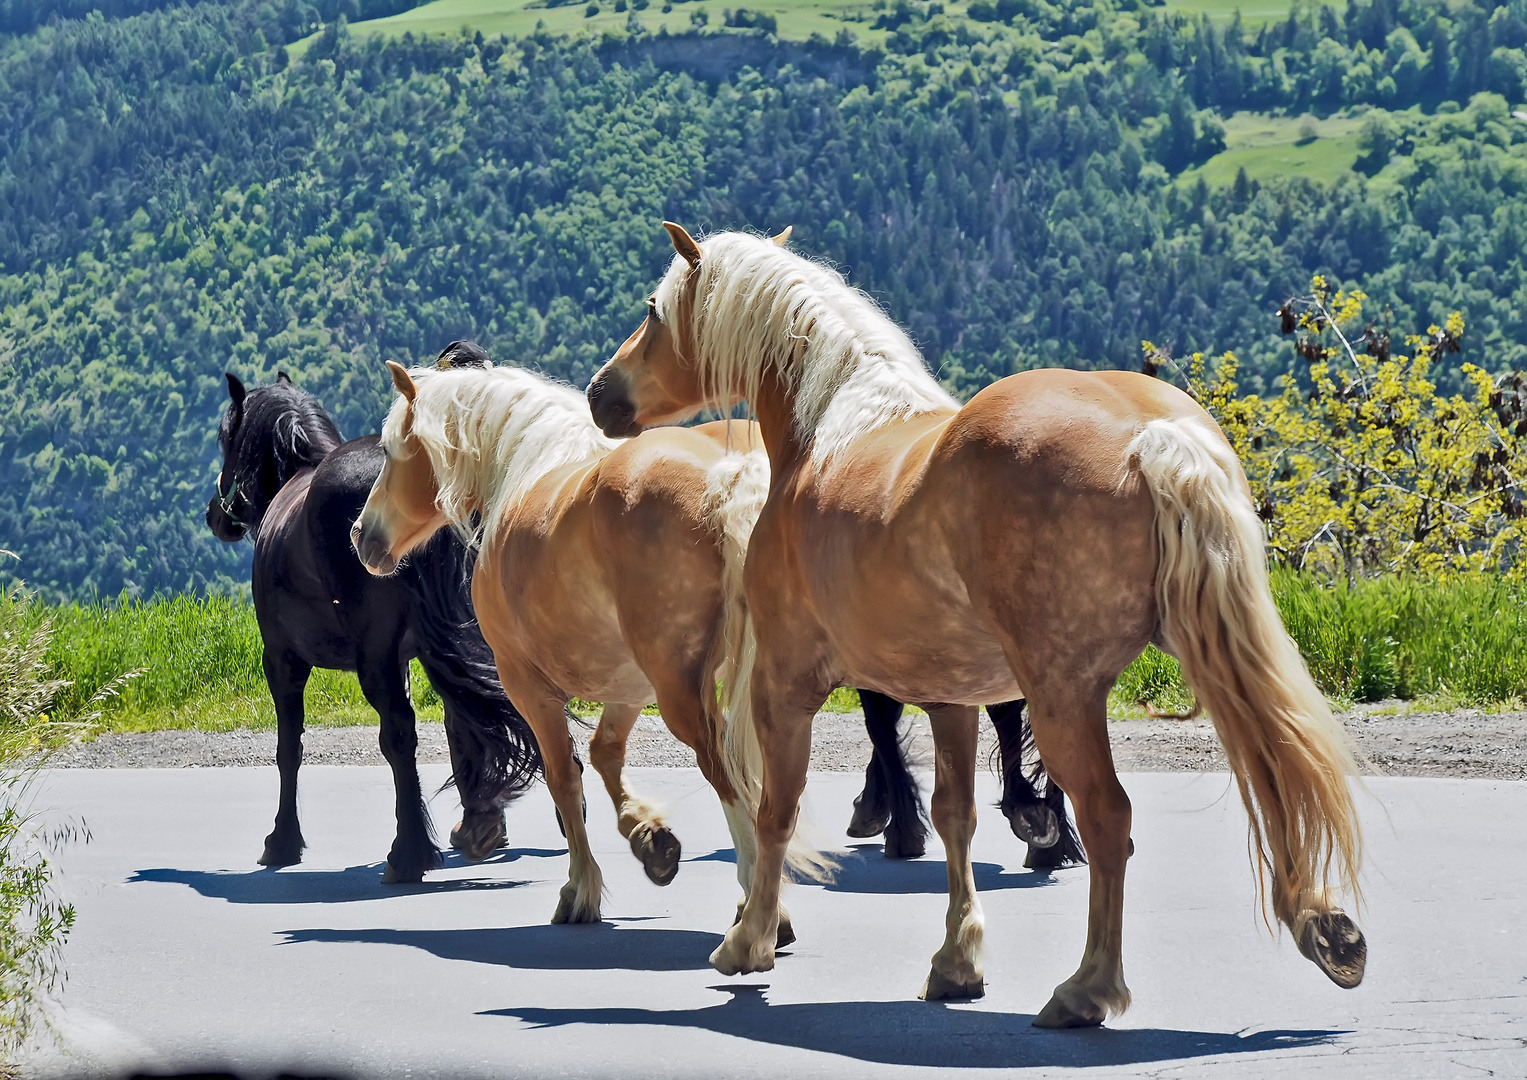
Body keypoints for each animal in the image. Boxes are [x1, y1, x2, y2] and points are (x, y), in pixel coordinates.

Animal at [206, 368, 543, 885]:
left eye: (228, 438)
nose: (214, 514)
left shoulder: (282, 660)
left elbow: (289, 749)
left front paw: (282, 841)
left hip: (376, 657)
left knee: (400, 735)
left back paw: (409, 853)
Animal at [349, 360, 818, 928]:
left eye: (393, 449)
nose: (362, 536)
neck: (528, 468)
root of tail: (728, 472)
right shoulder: (629, 686)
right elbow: (603, 755)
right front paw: (649, 839)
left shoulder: (528, 687)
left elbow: (563, 779)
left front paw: (579, 890)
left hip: (684, 695)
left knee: (726, 772)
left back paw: (758, 905)